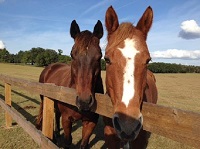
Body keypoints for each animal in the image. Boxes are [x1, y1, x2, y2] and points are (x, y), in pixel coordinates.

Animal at [35, 19, 104, 149]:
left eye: (100, 56)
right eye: (72, 54)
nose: (84, 102)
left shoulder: (91, 122)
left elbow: (84, 143)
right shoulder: (67, 119)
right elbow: (68, 141)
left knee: (56, 114)